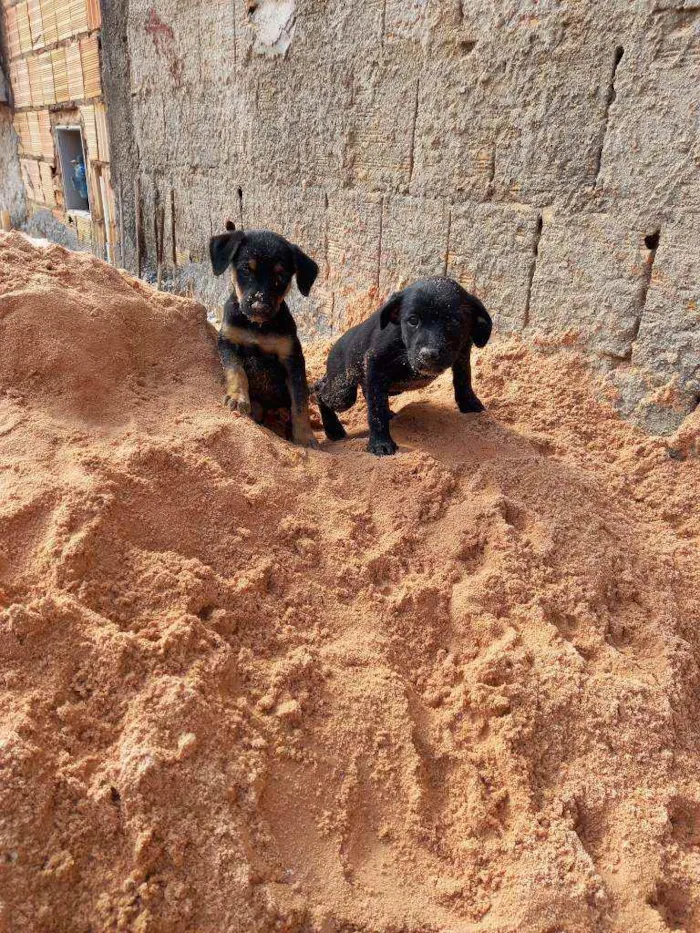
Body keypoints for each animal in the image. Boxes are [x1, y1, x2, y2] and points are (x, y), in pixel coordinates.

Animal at [208, 222, 318, 448]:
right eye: (245, 270)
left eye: (281, 277)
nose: (259, 306)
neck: (258, 326)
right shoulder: (227, 341)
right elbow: (236, 370)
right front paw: (237, 398)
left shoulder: (292, 358)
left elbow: (299, 400)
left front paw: (305, 436)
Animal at [312, 276, 492, 456]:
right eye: (413, 320)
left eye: (453, 321)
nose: (428, 354)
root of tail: (337, 343)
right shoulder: (374, 362)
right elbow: (376, 409)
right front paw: (380, 443)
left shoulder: (463, 351)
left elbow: (463, 378)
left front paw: (469, 404)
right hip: (343, 393)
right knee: (319, 390)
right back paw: (333, 429)